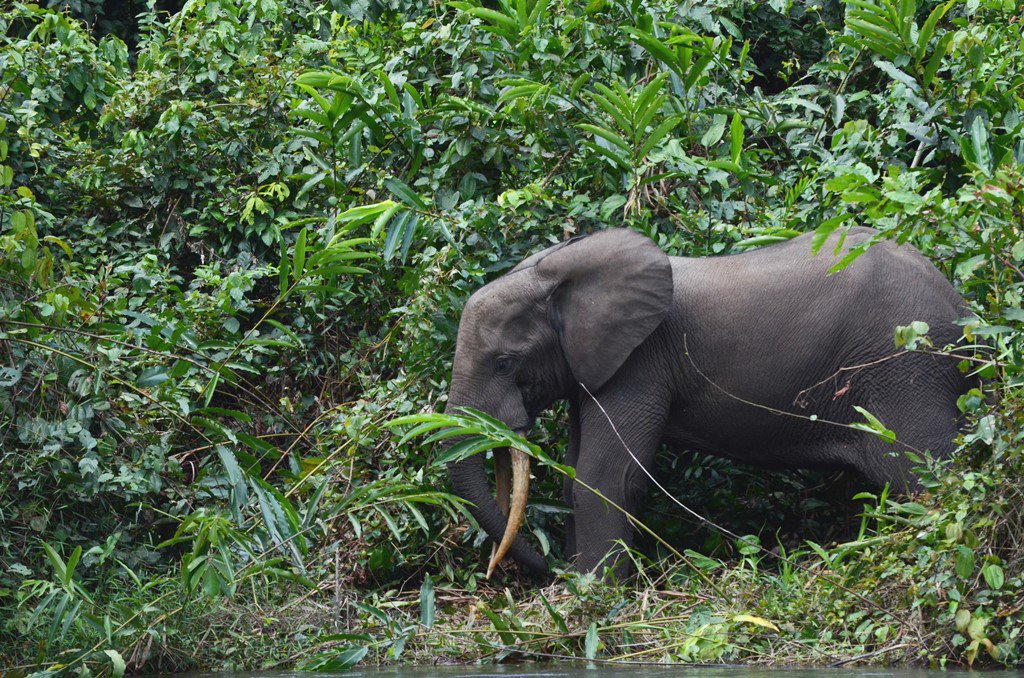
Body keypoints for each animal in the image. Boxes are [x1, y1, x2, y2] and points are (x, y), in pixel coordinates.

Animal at [444, 227, 971, 578]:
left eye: (505, 363)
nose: (548, 570)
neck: (558, 272)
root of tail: (963, 308)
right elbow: (576, 471)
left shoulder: (640, 362)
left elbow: (605, 476)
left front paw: (593, 597)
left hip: (906, 368)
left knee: (923, 473)